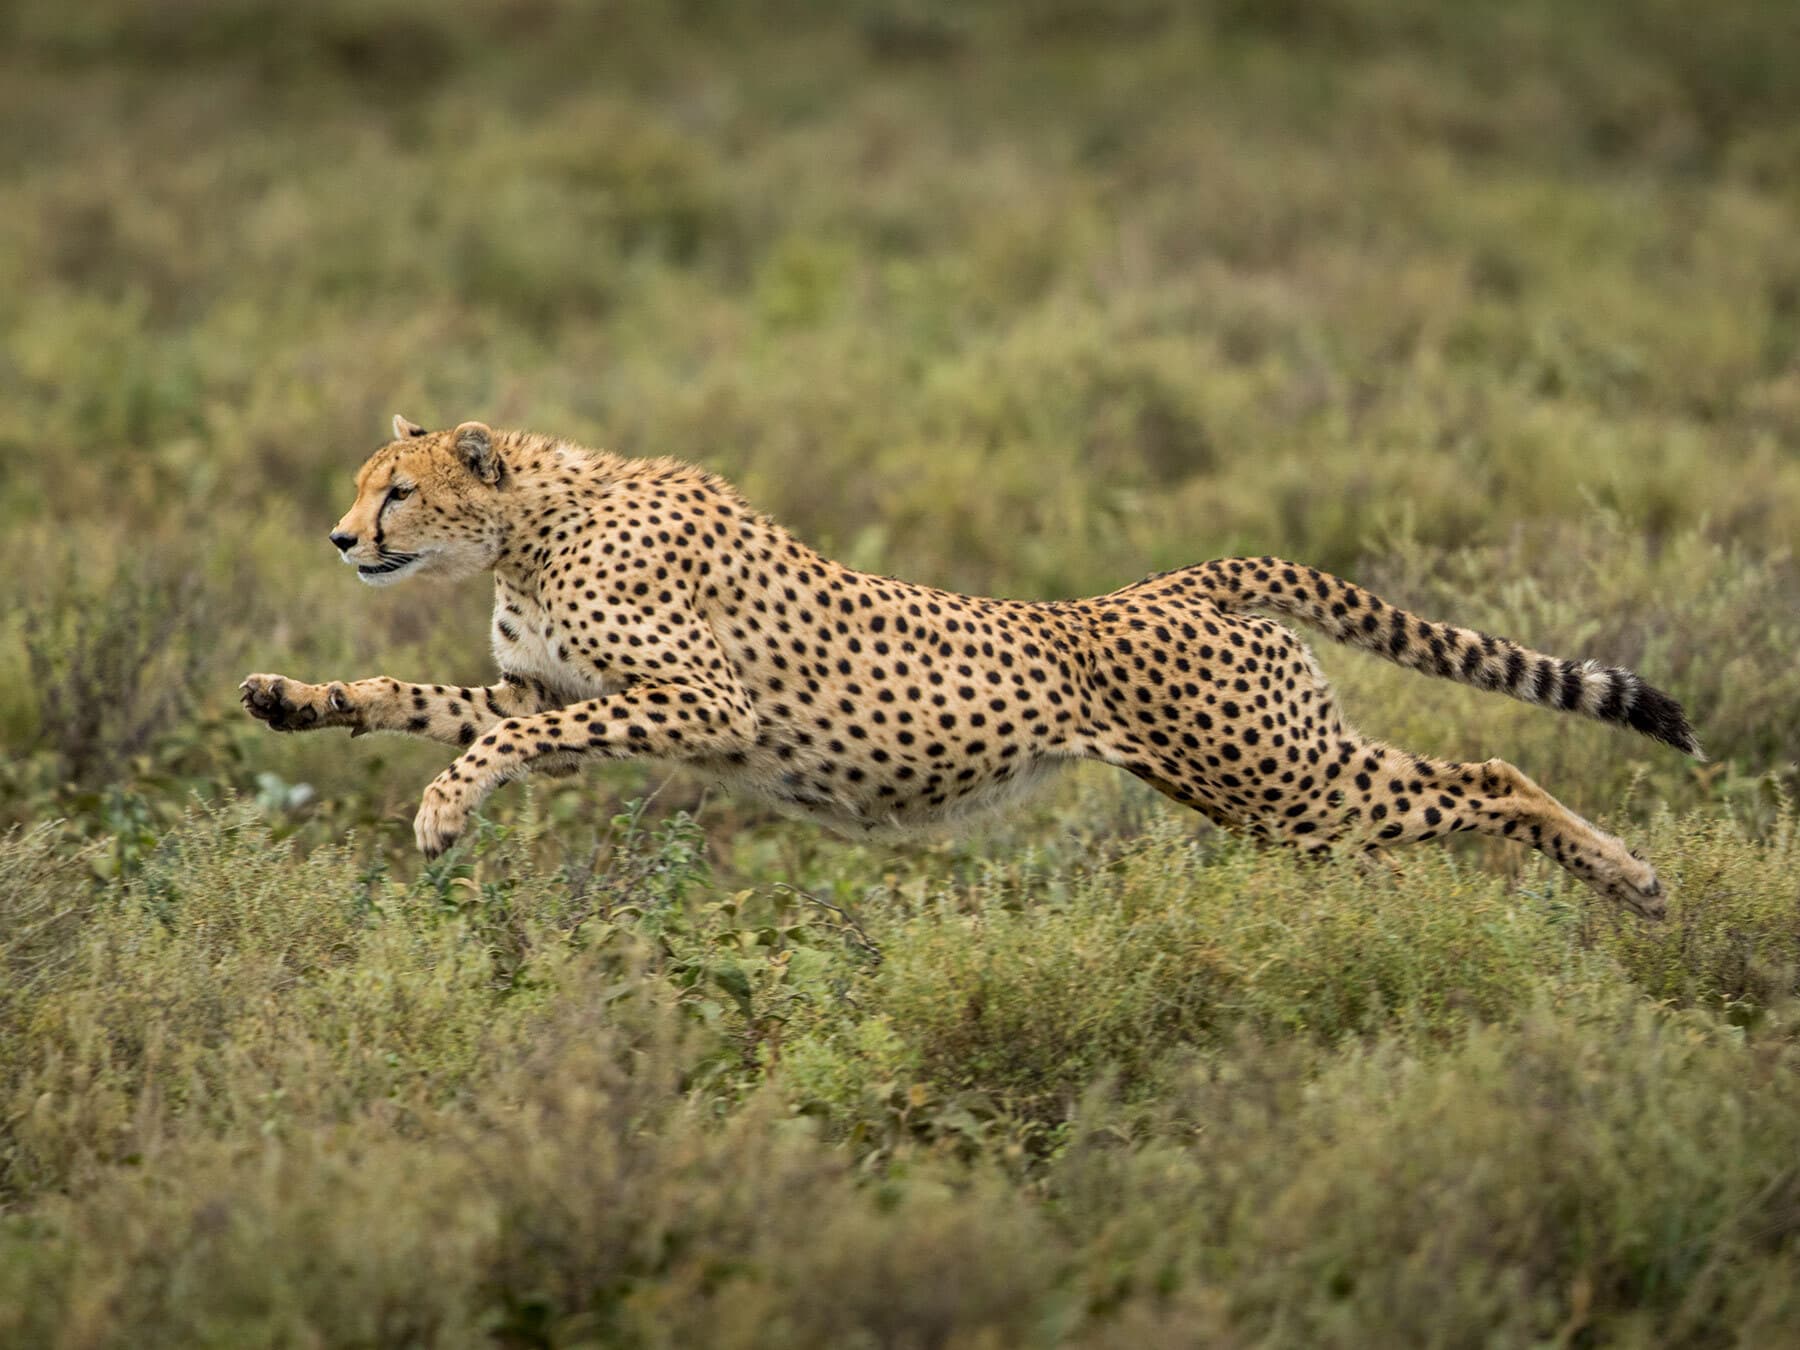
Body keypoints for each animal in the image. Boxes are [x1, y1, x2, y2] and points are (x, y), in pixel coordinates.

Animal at [242, 416, 1703, 919]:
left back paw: (1632, 879)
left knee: (1495, 772)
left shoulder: (699, 704)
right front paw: (299, 697)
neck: (533, 523)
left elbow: (501, 741)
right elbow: (432, 703)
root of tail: (1180, 580)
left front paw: (443, 813)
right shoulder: (553, 690)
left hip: (1288, 783)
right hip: (1275, 789)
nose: (340, 537)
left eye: (397, 489)